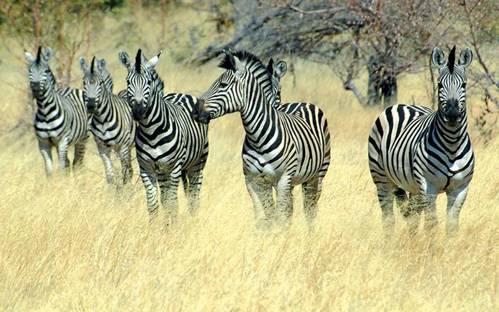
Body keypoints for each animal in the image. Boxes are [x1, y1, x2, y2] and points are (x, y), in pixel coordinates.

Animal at [24, 46, 90, 176]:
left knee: (77, 162)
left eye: (45, 71)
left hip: (83, 138)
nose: (36, 90)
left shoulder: (62, 141)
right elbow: (49, 170)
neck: (45, 111)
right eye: (30, 71)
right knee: (70, 162)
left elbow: (61, 168)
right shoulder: (43, 144)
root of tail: (71, 89)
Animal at [80, 56, 136, 185]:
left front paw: (126, 190)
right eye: (84, 83)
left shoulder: (123, 146)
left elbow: (124, 173)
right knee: (130, 169)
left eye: (100, 83)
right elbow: (110, 176)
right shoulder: (102, 148)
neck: (102, 120)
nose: (90, 106)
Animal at [120, 48, 210, 224]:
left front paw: (172, 227)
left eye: (148, 82)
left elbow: (172, 203)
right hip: (167, 171)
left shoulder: (174, 167)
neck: (151, 132)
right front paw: (156, 228)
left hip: (197, 163)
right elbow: (154, 204)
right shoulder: (146, 168)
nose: (138, 112)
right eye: (128, 82)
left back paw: (194, 220)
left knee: (194, 196)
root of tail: (181, 93)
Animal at [192, 49, 332, 229]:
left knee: (310, 209)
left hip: (317, 175)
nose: (195, 111)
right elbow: (263, 217)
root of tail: (302, 103)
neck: (258, 138)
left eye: (223, 85)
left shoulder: (283, 179)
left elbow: (279, 217)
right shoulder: (252, 181)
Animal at [370, 46, 474, 235]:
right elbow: (431, 223)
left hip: (412, 186)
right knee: (388, 218)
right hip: (381, 178)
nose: (452, 114)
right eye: (439, 85)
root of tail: (403, 105)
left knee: (412, 217)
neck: (452, 145)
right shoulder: (428, 186)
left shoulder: (460, 188)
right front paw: (431, 244)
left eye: (464, 85)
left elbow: (452, 225)